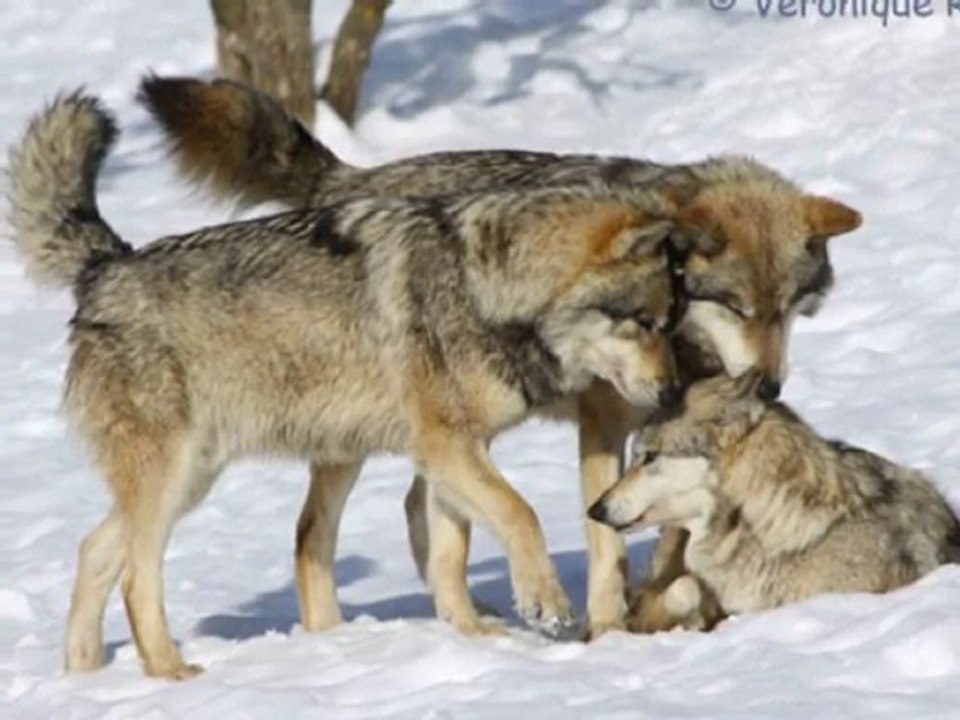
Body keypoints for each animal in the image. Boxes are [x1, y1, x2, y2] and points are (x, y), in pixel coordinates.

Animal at [8, 92, 690, 678]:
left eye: (671, 320)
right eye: (645, 322)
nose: (673, 393)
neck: (483, 287)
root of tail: (106, 266)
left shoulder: (453, 453)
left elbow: (451, 555)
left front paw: (473, 639)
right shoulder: (447, 448)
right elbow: (521, 514)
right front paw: (544, 604)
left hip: (196, 478)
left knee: (94, 549)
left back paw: (85, 675)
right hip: (173, 479)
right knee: (135, 576)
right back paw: (171, 673)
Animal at [139, 75, 863, 637]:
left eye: (789, 309)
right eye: (736, 307)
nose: (769, 386)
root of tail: (352, 176)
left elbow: (670, 530)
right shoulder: (602, 429)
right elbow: (606, 539)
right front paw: (607, 626)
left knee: (420, 506)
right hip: (352, 436)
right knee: (321, 530)